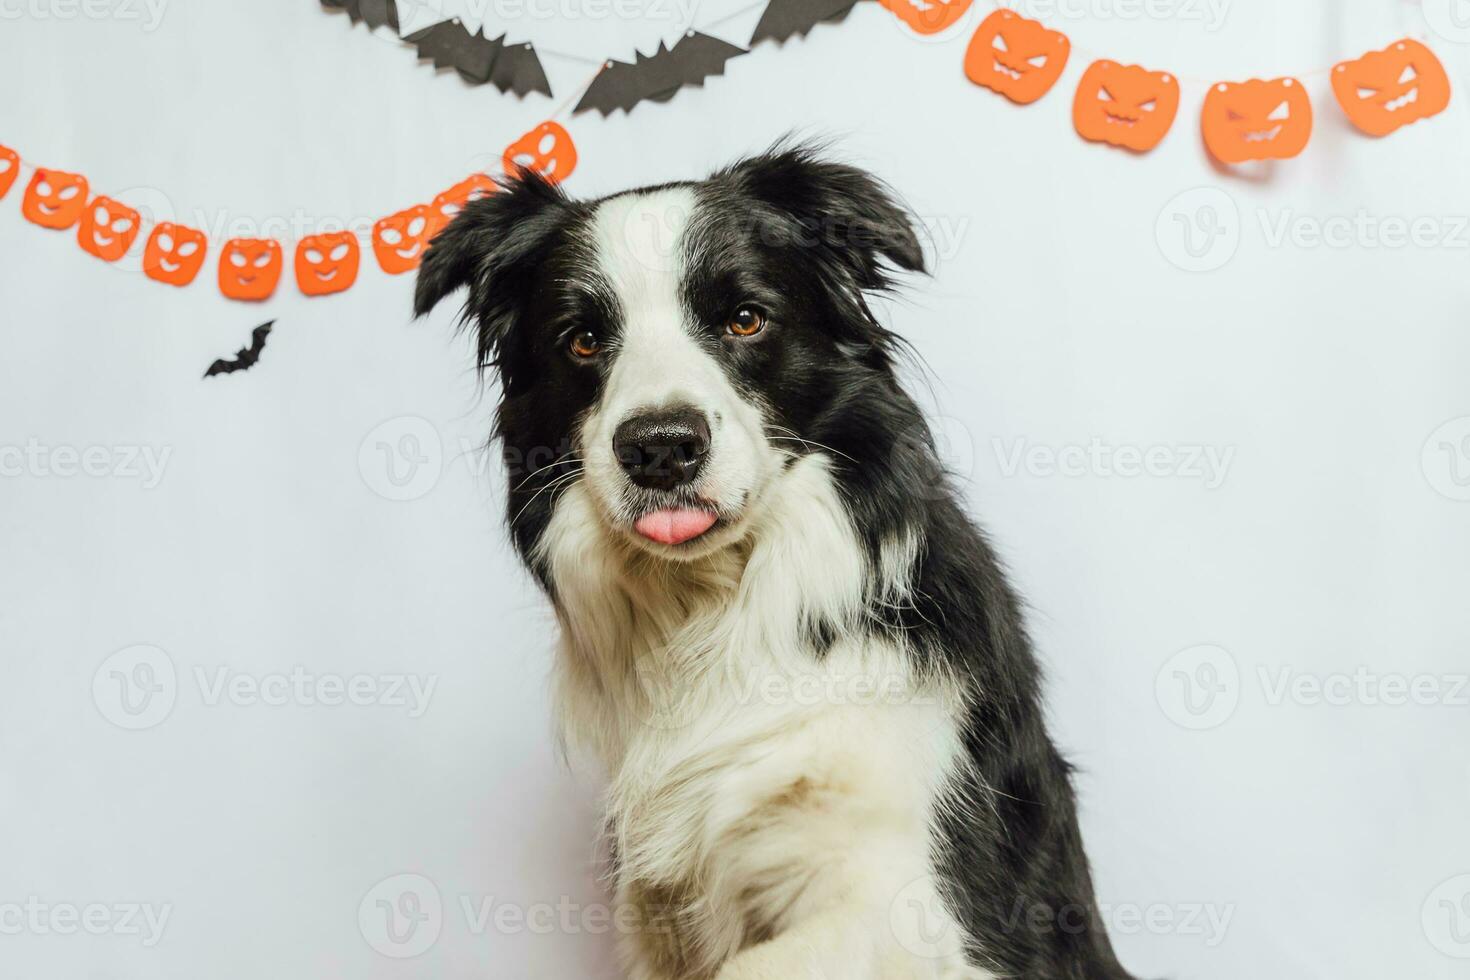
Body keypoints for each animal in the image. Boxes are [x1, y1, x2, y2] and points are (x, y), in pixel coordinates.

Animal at [414, 145, 1134, 980]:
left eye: (745, 318)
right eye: (583, 339)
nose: (660, 446)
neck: (716, 609)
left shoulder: (913, 904)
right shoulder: (662, 911)